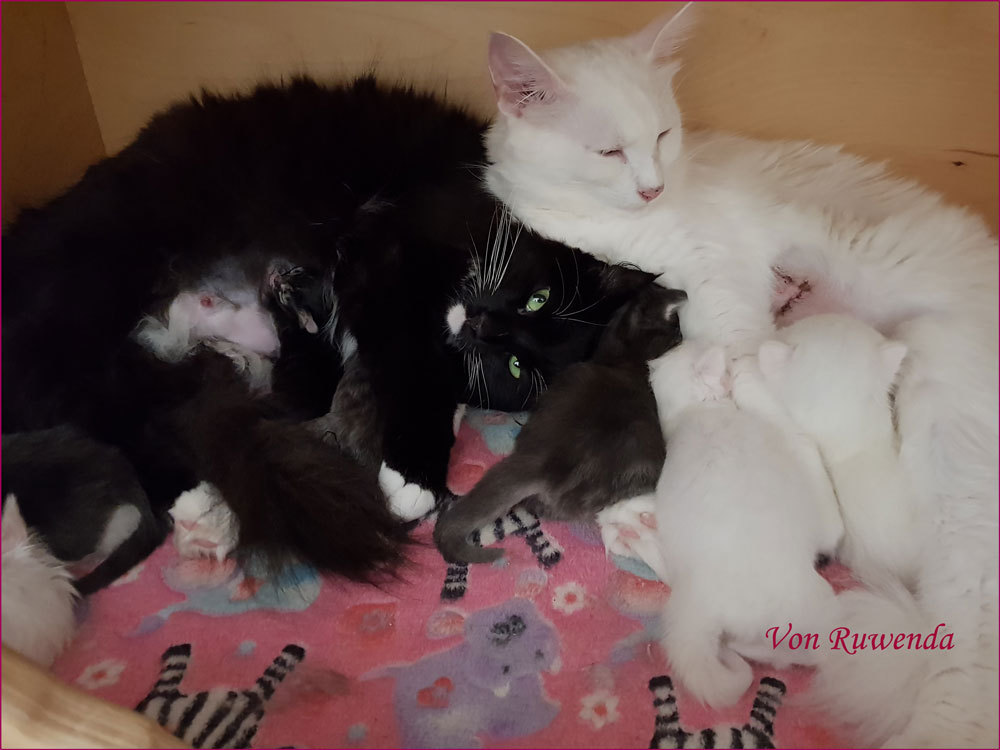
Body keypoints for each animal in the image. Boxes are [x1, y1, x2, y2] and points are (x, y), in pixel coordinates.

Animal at [2, 76, 653, 578]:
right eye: (540, 299)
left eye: (517, 364)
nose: (486, 327)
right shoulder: (393, 257)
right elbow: (420, 364)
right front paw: (416, 475)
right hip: (96, 288)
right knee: (103, 401)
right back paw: (197, 504)